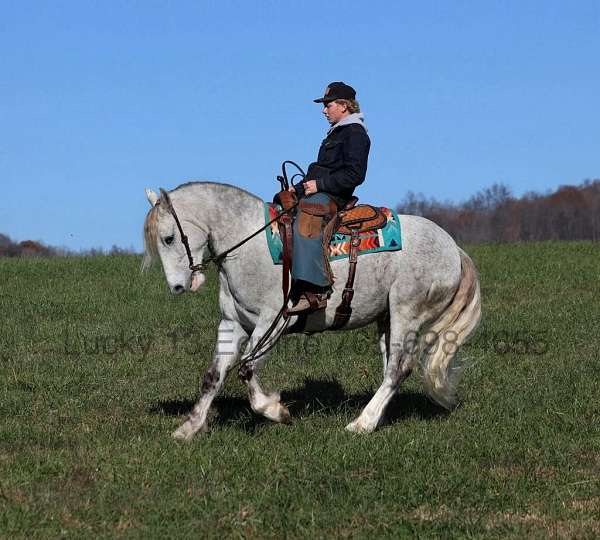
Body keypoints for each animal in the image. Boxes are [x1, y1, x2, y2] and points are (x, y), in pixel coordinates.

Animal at [143, 181, 480, 438]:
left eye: (169, 238)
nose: (177, 287)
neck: (250, 246)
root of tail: (454, 248)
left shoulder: (273, 322)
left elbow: (247, 369)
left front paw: (277, 411)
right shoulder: (232, 324)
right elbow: (214, 376)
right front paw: (189, 428)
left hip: (406, 314)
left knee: (400, 368)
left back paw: (362, 423)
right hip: (386, 318)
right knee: (391, 368)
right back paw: (376, 417)